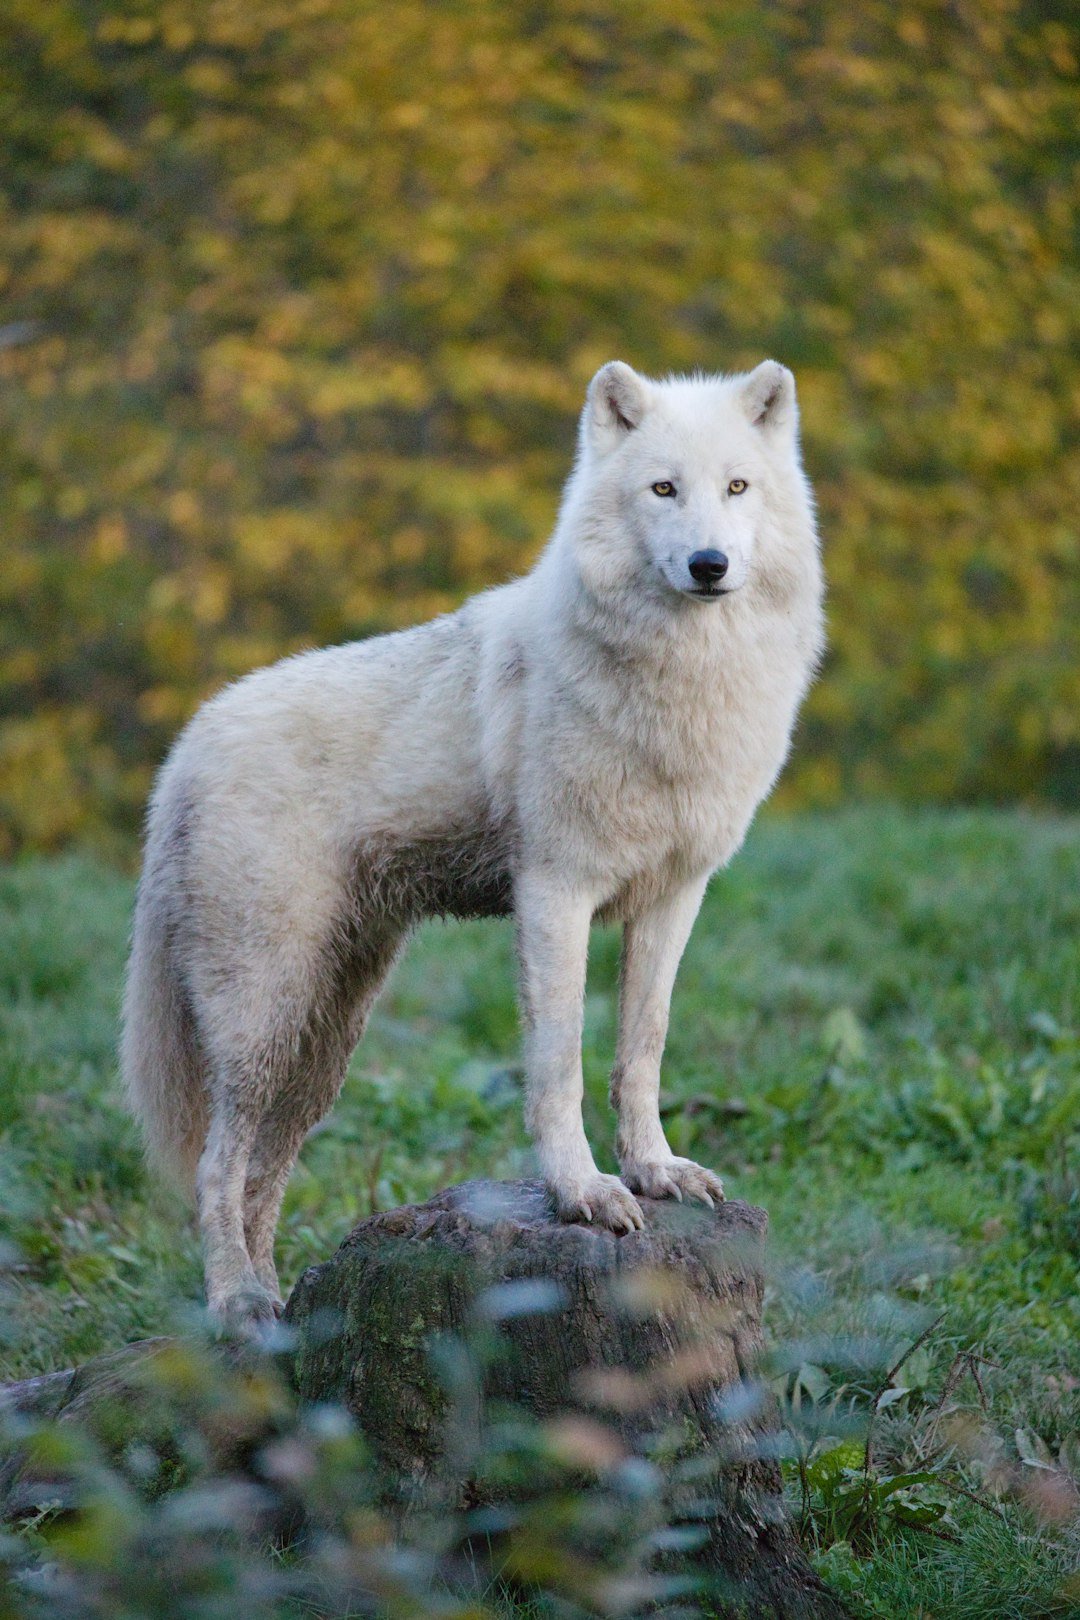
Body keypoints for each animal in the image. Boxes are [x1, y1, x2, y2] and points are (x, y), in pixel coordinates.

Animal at [121, 359, 825, 1327]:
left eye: (738, 488)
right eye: (663, 489)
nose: (708, 565)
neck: (683, 683)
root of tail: (186, 748)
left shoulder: (675, 898)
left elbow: (641, 1049)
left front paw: (654, 1171)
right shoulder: (556, 892)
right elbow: (560, 1064)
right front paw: (584, 1193)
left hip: (325, 1038)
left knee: (264, 1174)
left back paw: (278, 1307)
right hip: (265, 1019)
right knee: (216, 1167)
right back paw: (238, 1302)